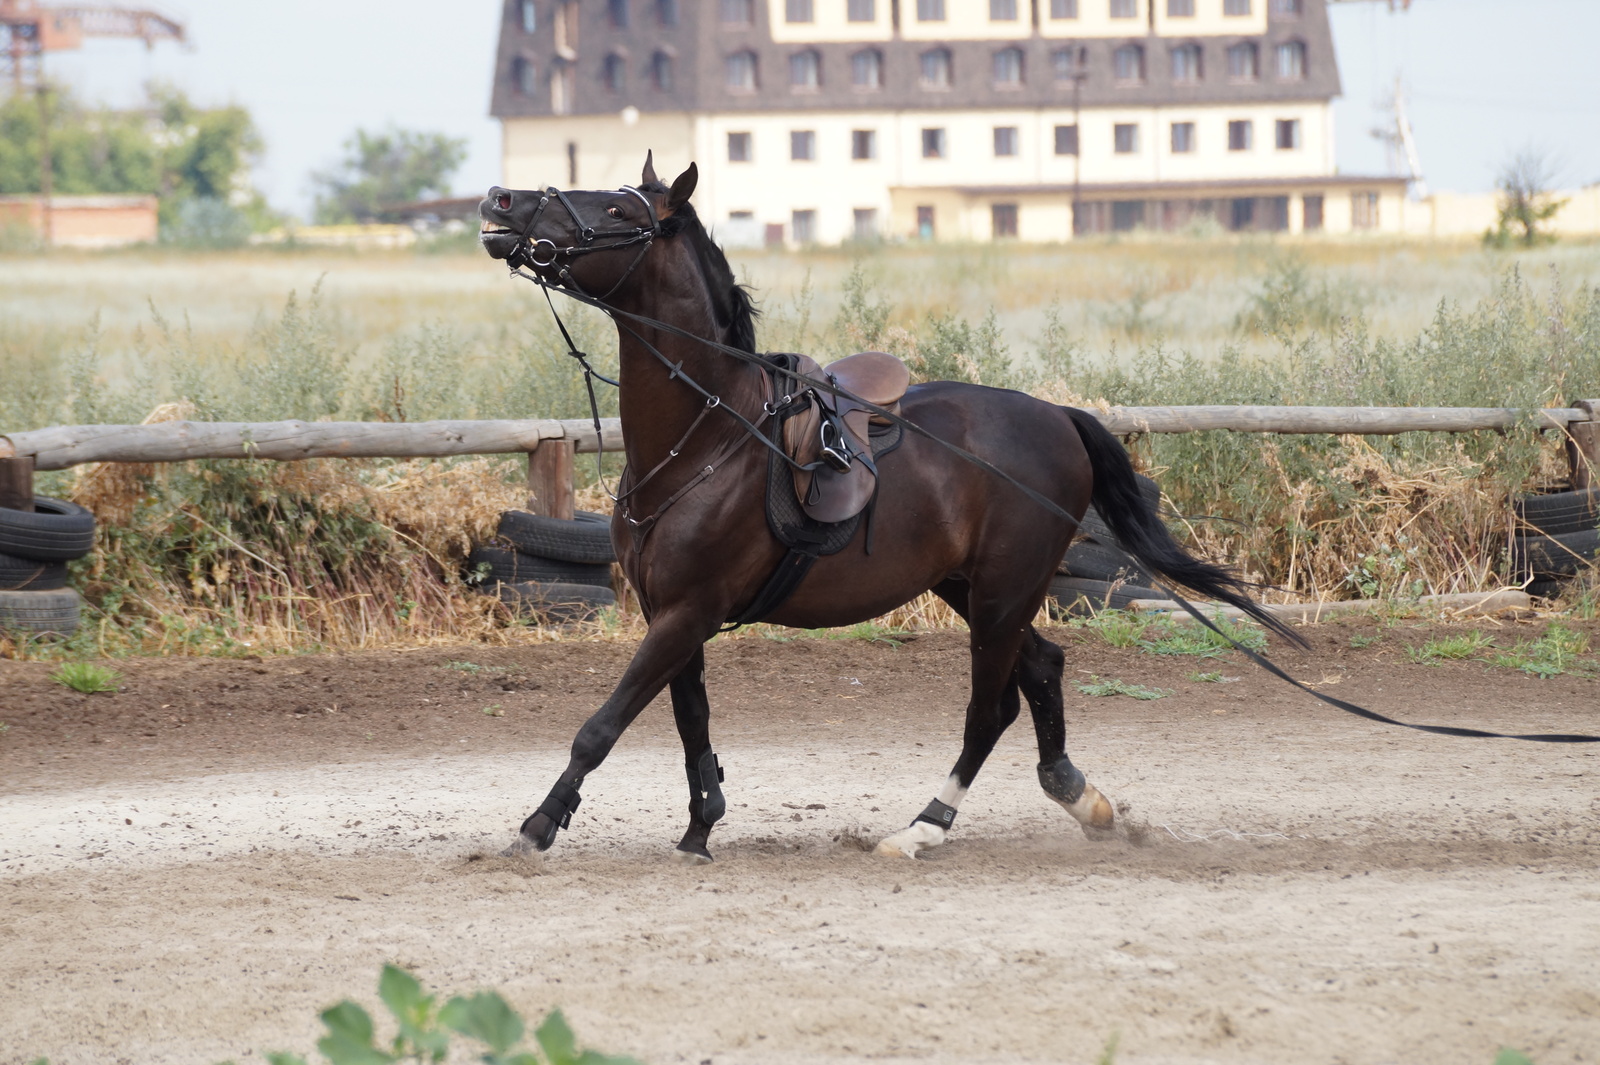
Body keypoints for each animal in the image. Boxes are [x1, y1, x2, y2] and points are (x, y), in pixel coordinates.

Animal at [473, 153, 1286, 857]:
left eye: (615, 210)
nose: (500, 202)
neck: (706, 438)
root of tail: (1059, 416)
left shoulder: (688, 612)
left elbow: (603, 724)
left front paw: (538, 827)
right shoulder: (669, 613)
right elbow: (689, 721)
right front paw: (700, 829)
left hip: (1002, 593)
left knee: (991, 709)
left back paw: (922, 829)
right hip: (972, 588)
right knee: (1043, 669)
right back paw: (1077, 797)